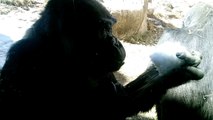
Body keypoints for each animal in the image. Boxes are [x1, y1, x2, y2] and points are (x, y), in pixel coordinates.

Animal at [0, 0, 204, 119]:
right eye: (105, 29)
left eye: (111, 28)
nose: (115, 41)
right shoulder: (25, 60)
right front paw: (177, 74)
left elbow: (123, 98)